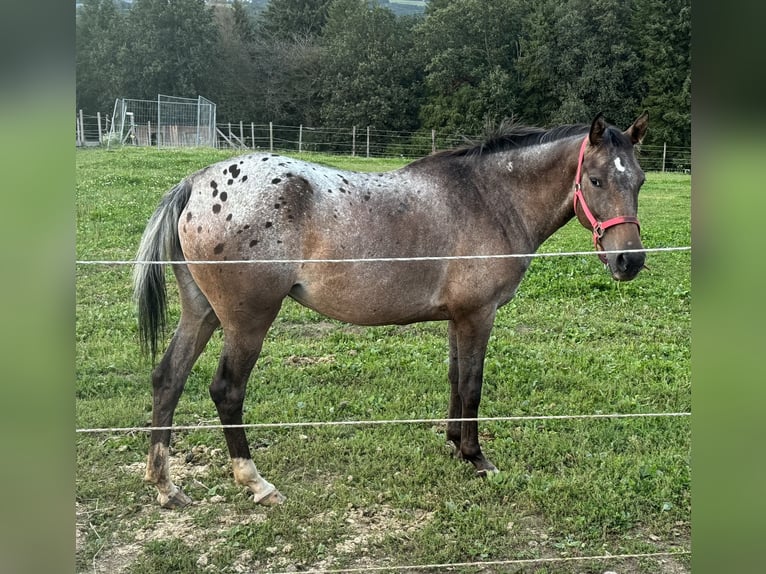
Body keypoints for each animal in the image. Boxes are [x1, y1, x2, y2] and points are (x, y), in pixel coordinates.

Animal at [134, 111, 648, 508]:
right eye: (596, 180)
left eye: (640, 181)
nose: (631, 260)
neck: (488, 198)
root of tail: (195, 183)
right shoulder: (478, 316)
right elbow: (472, 385)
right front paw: (476, 457)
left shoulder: (457, 319)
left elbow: (454, 381)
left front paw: (454, 444)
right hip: (247, 321)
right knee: (226, 391)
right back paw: (256, 483)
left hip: (202, 313)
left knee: (168, 378)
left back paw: (165, 486)